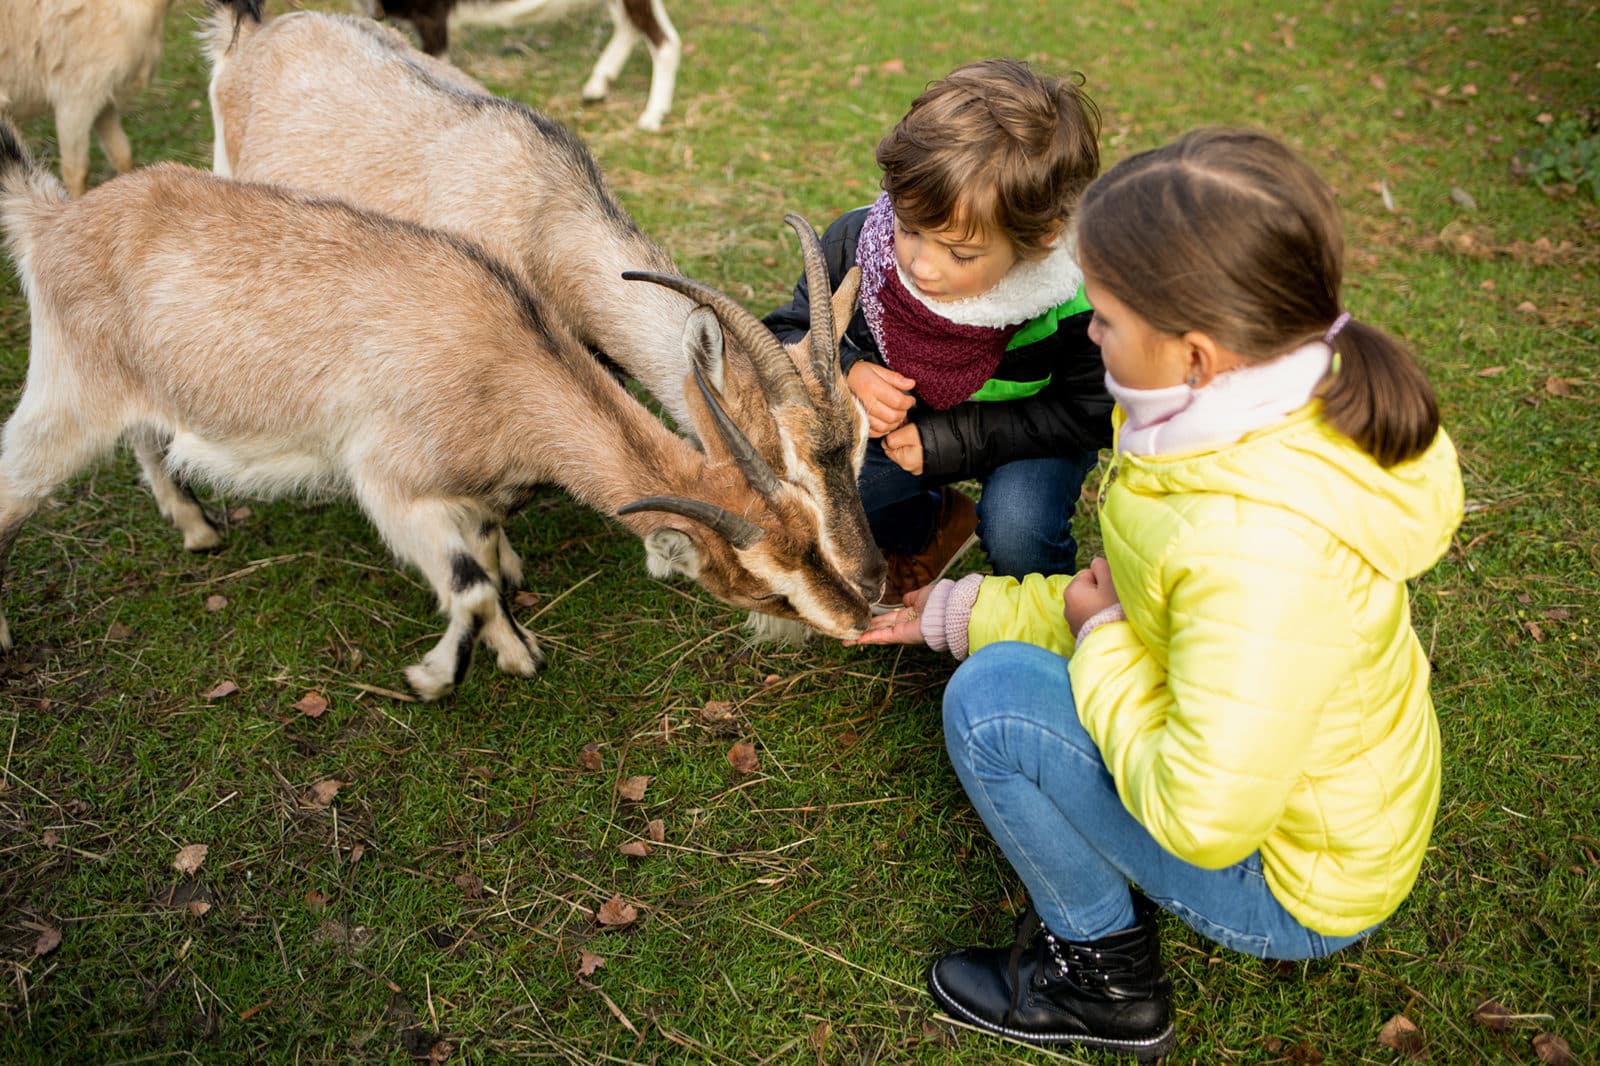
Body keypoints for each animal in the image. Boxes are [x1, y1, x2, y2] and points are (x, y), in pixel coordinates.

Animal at [0, 121, 873, 701]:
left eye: (811, 528)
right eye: (762, 586)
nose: (860, 610)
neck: (503, 359)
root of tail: (56, 220)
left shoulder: (469, 491)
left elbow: (484, 554)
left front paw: (514, 650)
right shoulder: (389, 484)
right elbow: (469, 582)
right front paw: (435, 675)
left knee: (151, 443)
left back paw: (197, 529)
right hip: (68, 394)